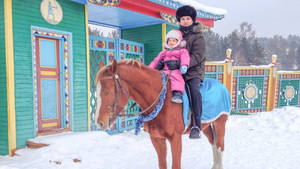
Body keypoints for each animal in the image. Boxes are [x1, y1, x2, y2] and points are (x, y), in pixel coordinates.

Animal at [95, 59, 229, 169]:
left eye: (107, 92)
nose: (99, 122)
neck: (162, 99)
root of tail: (222, 86)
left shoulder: (175, 139)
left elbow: (176, 165)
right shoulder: (157, 139)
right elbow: (162, 164)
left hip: (220, 123)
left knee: (220, 146)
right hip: (206, 125)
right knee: (213, 143)